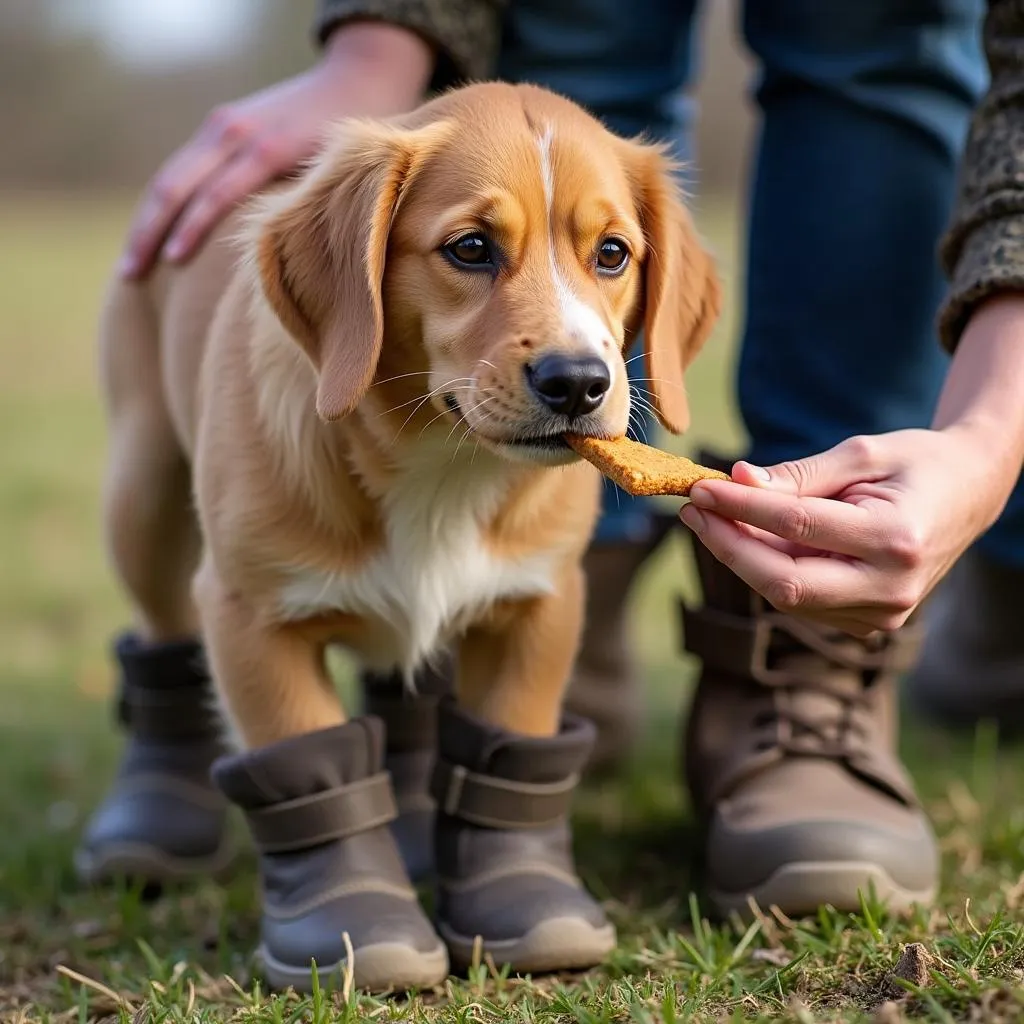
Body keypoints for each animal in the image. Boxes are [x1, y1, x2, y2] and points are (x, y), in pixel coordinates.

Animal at [96, 81, 720, 991]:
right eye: (471, 248)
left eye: (612, 254)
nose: (578, 383)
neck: (442, 471)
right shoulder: (250, 615)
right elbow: (305, 750)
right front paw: (355, 921)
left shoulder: (540, 604)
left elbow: (511, 736)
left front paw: (522, 897)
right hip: (141, 492)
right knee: (161, 634)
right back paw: (151, 818)